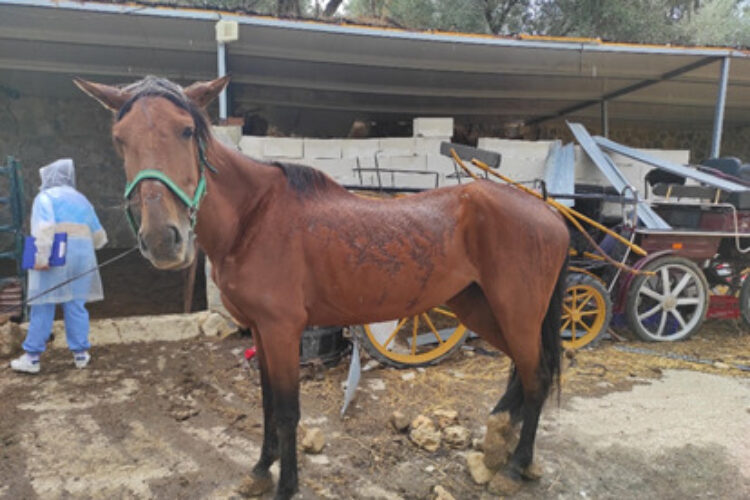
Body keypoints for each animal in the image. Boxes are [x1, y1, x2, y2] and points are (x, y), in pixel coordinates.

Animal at [75, 75, 568, 500]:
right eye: (120, 138)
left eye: (185, 131)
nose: (163, 239)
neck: (253, 219)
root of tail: (550, 214)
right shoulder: (260, 331)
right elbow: (267, 404)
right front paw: (260, 471)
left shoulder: (282, 330)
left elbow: (288, 410)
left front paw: (286, 486)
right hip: (479, 308)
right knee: (522, 371)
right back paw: (498, 444)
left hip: (516, 311)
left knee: (537, 375)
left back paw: (515, 466)